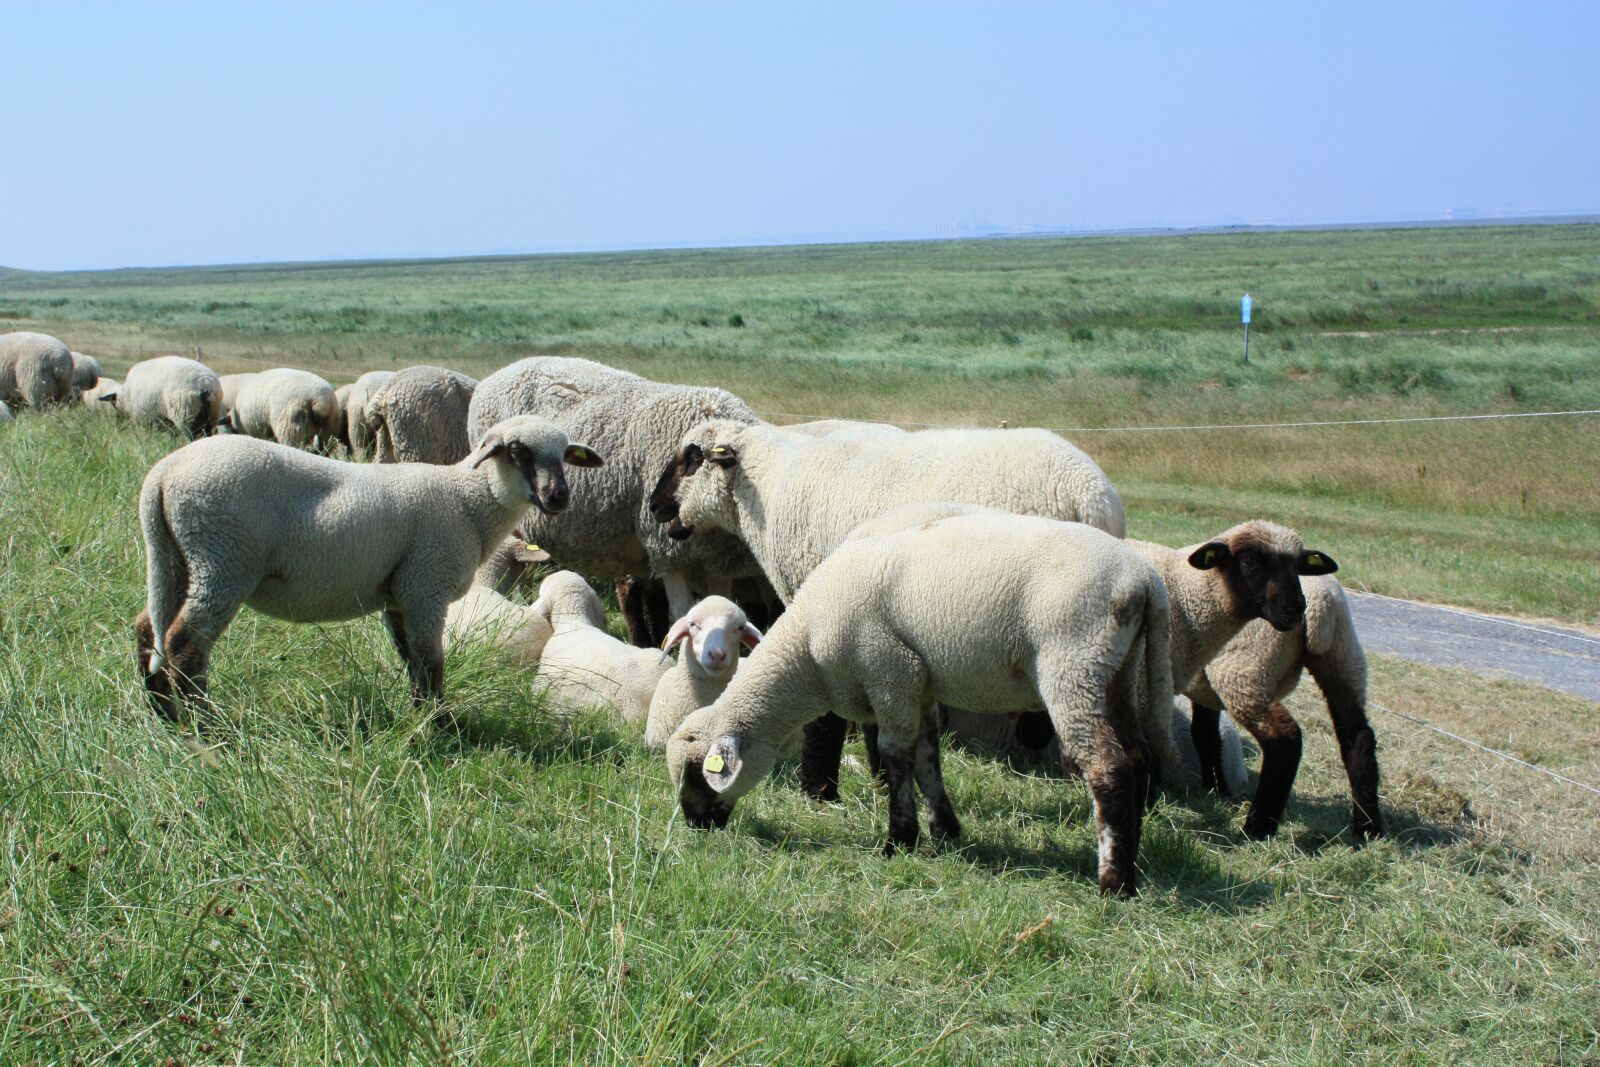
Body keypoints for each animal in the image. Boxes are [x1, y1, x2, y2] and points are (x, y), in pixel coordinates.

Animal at [134, 415, 604, 722]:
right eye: (518, 451)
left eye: (565, 455)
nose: (559, 498)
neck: (466, 501)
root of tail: (163, 474)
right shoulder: (426, 587)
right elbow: (431, 662)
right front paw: (437, 726)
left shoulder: (400, 595)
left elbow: (412, 660)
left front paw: (420, 716)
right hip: (224, 560)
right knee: (184, 643)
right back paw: (206, 727)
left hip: (178, 560)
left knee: (147, 628)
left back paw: (164, 715)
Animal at [666, 510, 1178, 897]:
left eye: (698, 771)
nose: (695, 825)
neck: (806, 649)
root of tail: (1143, 579)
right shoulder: (921, 683)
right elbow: (929, 756)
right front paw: (944, 829)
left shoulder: (890, 672)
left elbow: (896, 755)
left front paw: (899, 840)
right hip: (1116, 671)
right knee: (1137, 756)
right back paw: (1134, 855)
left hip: (1072, 663)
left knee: (1107, 766)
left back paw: (1113, 882)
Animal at [1182, 574, 1382, 840]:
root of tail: (1321, 602)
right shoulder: (1199, 685)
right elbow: (1206, 734)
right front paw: (1215, 790)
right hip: (1343, 658)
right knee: (1358, 738)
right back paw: (1368, 828)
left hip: (1245, 668)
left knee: (1285, 740)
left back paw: (1257, 828)